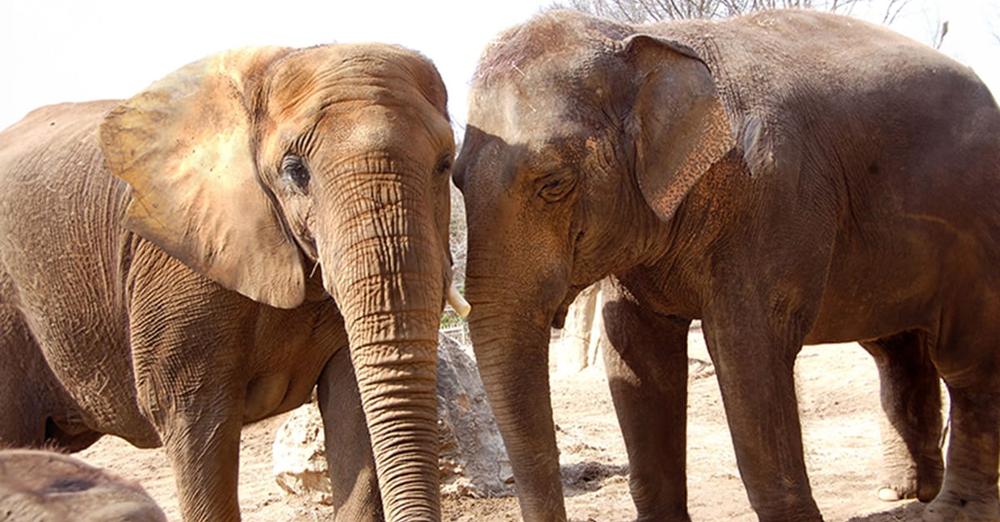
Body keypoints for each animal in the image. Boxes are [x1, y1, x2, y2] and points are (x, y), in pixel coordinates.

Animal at [456, 8, 1000, 520]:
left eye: (553, 184)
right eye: (455, 178)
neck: (641, 41)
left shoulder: (774, 197)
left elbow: (747, 349)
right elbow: (634, 353)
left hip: (975, 238)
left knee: (967, 367)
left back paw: (950, 511)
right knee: (895, 350)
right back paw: (902, 492)